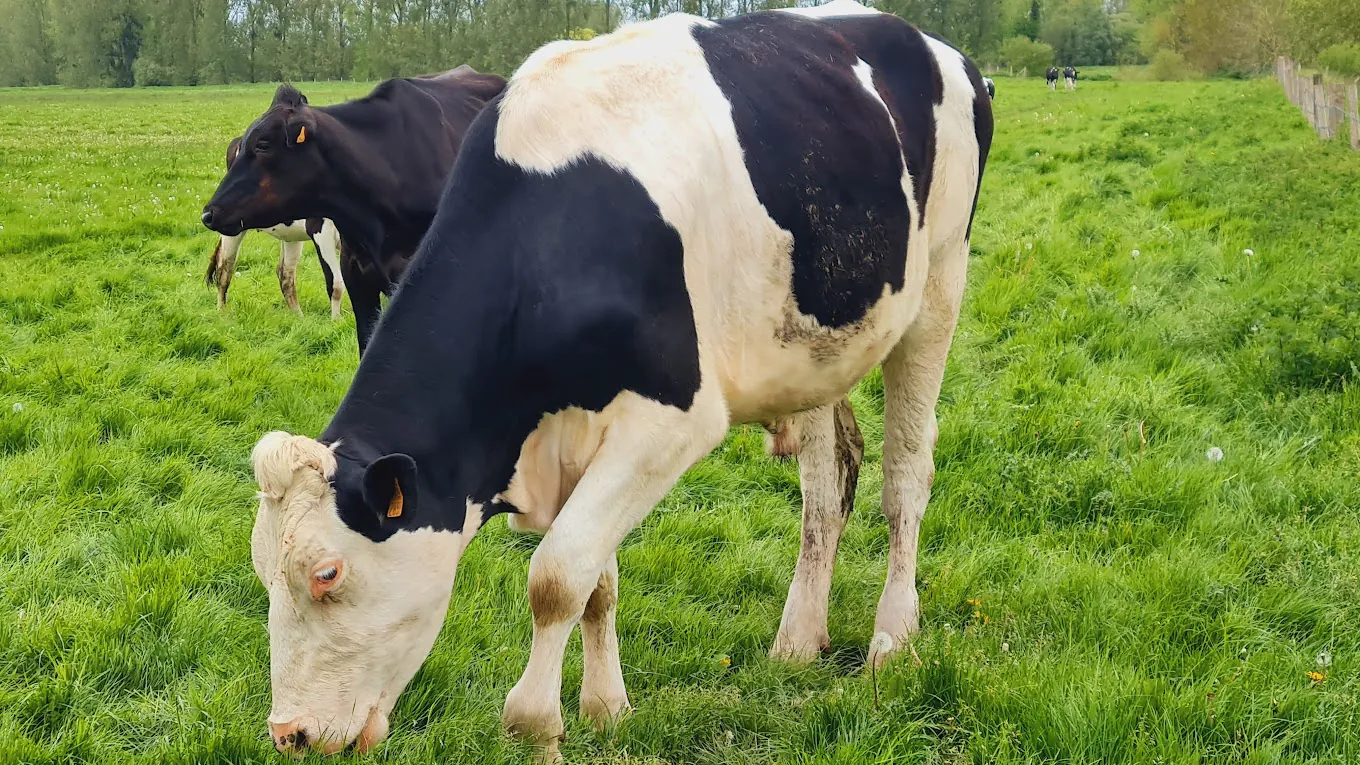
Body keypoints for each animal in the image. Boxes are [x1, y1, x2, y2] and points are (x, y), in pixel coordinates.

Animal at [244, 0, 995, 751]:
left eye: (327, 573)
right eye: (261, 573)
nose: (289, 732)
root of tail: (933, 44)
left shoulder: (672, 420)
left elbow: (556, 575)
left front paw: (535, 724)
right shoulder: (577, 431)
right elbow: (594, 579)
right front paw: (606, 706)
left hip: (939, 287)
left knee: (905, 476)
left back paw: (892, 637)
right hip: (813, 349)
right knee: (826, 486)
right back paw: (798, 637)